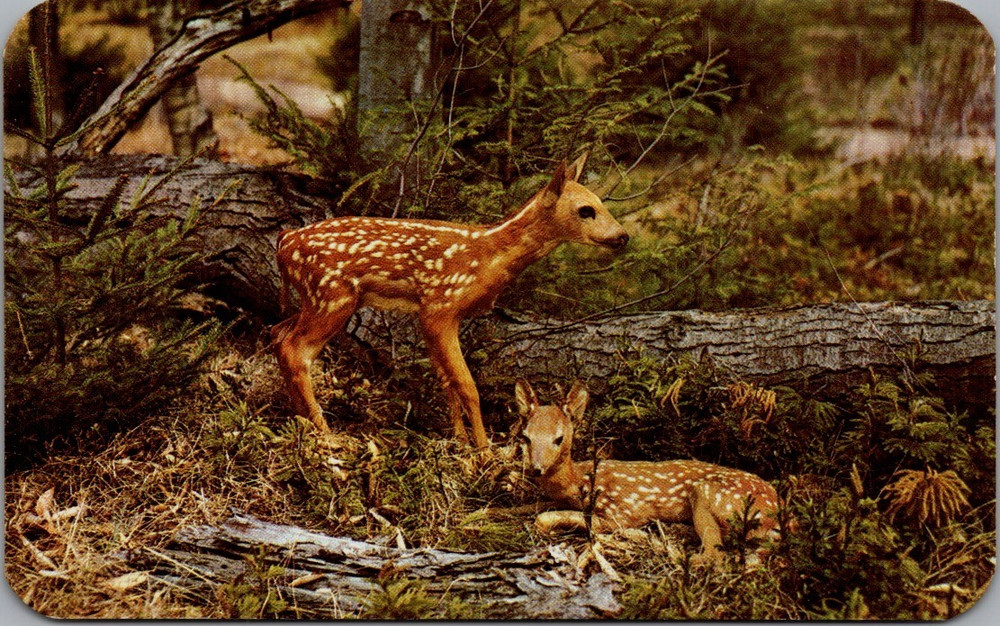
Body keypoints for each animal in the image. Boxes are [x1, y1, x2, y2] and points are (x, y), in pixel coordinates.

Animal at [271, 154, 629, 450]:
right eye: (586, 210)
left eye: (601, 201)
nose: (623, 236)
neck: (488, 256)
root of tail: (284, 242)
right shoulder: (440, 307)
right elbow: (467, 385)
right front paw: (484, 452)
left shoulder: (430, 314)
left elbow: (447, 382)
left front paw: (459, 443)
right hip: (332, 296)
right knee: (296, 350)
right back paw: (326, 433)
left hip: (314, 299)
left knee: (277, 334)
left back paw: (299, 420)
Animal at [515, 379, 782, 563]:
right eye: (525, 437)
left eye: (558, 438)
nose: (536, 469)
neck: (579, 480)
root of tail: (778, 512)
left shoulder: (619, 513)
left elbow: (548, 518)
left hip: (713, 494)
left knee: (715, 557)